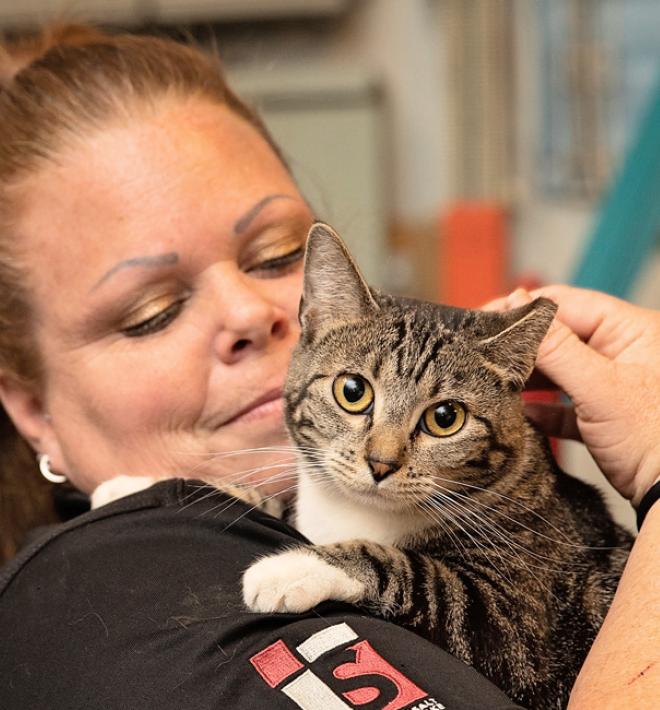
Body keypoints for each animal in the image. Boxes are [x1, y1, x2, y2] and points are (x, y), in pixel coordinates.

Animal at [240, 222, 632, 710]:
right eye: (352, 391)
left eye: (446, 418)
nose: (380, 463)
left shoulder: (514, 626)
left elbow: (414, 572)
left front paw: (291, 569)